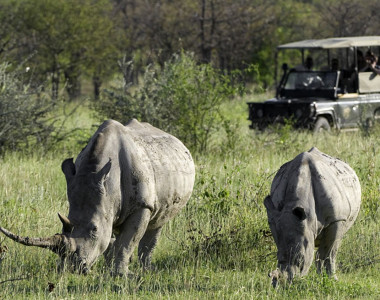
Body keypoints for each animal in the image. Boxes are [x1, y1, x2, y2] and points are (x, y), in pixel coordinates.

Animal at [0, 118, 194, 276]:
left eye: (94, 229)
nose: (74, 268)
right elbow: (110, 240)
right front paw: (111, 269)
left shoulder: (142, 205)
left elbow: (127, 243)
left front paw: (120, 275)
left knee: (159, 221)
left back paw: (147, 269)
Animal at [266, 147, 360, 286]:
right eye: (278, 259)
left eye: (301, 260)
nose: (283, 284)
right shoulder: (275, 220)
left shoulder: (336, 219)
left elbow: (327, 252)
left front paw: (329, 280)